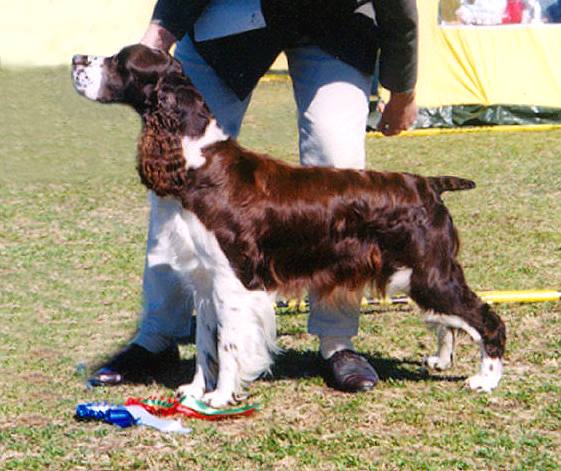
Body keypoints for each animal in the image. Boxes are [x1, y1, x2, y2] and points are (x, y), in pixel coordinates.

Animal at [72, 45, 506, 410]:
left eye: (121, 61)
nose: (76, 59)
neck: (197, 162)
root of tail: (428, 184)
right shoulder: (205, 280)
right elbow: (204, 344)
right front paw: (195, 390)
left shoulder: (234, 281)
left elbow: (227, 346)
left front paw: (220, 397)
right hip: (415, 275)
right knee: (448, 322)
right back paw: (441, 359)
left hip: (429, 272)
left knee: (487, 318)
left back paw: (485, 380)